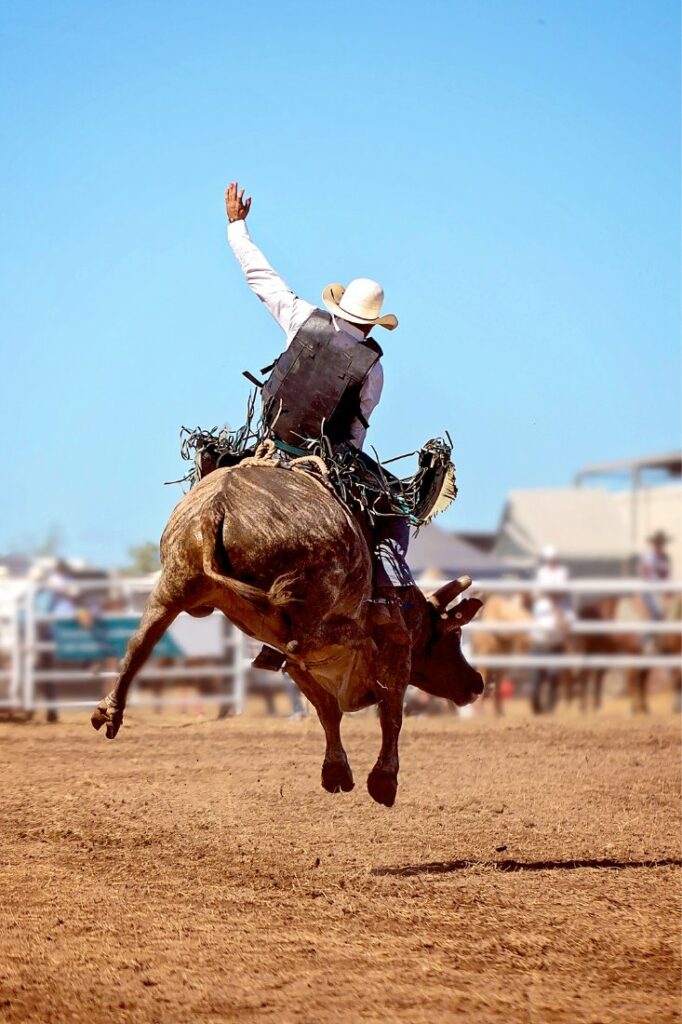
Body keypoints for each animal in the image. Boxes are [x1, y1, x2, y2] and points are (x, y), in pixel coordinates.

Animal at [90, 464, 483, 806]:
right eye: (454, 636)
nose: (477, 683)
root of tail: (215, 508)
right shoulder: (397, 650)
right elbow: (390, 713)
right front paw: (383, 781)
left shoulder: (303, 670)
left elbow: (328, 712)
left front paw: (336, 772)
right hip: (303, 594)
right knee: (306, 638)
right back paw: (352, 633)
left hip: (173, 586)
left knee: (140, 643)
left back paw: (110, 711)